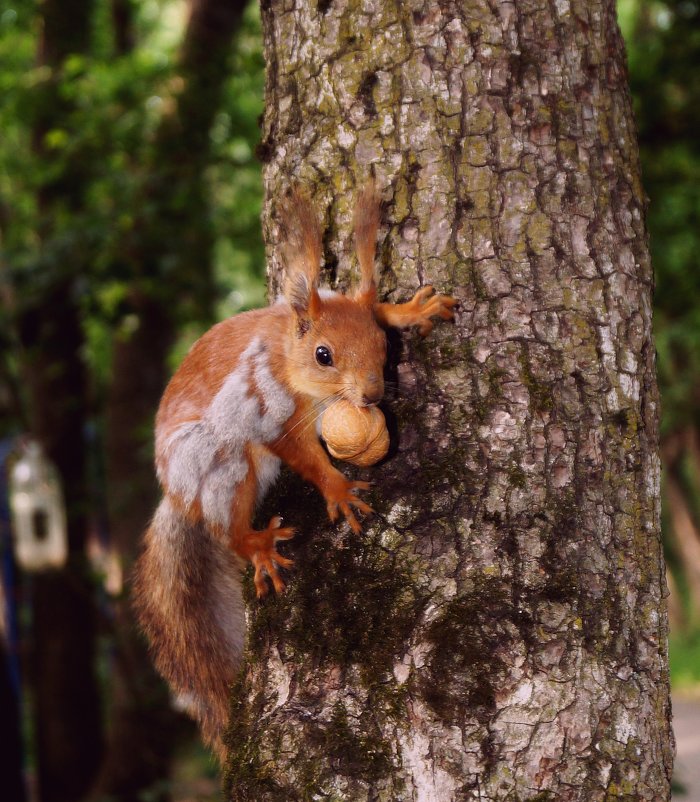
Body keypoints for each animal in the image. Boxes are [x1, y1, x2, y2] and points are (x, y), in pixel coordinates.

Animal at [132, 181, 460, 756]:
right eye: (323, 354)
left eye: (383, 346)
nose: (372, 396)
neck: (287, 351)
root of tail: (178, 498)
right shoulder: (269, 410)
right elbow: (302, 455)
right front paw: (339, 490)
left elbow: (371, 303)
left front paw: (410, 309)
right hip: (219, 465)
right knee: (230, 524)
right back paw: (257, 546)